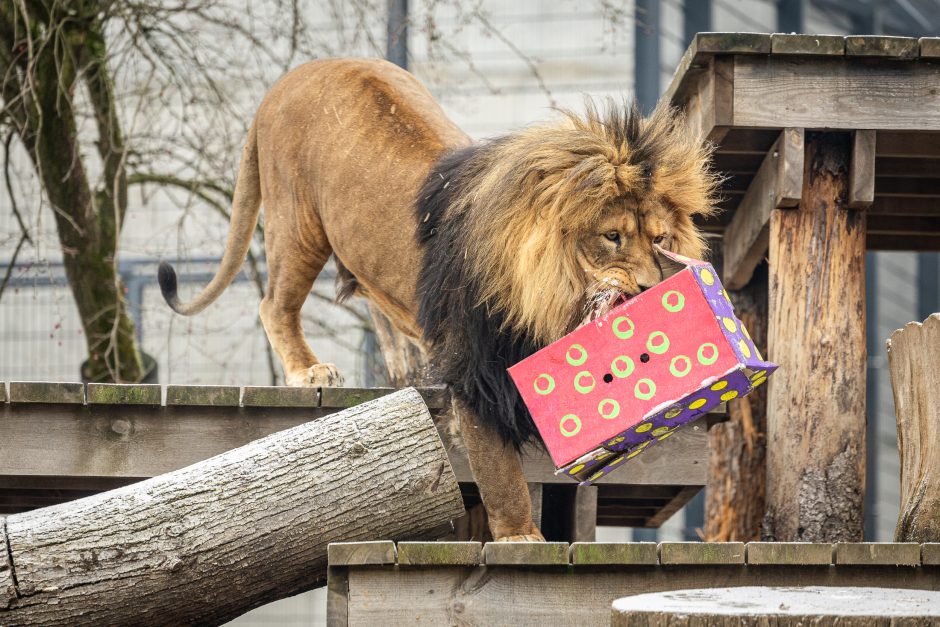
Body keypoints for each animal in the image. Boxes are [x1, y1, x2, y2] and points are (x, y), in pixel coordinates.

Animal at [160, 56, 720, 544]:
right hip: (298, 223)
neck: (547, 301)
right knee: (274, 304)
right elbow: (500, 473)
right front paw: (521, 538)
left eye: (661, 239)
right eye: (611, 237)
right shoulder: (475, 371)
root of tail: (288, 79)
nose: (652, 288)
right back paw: (308, 371)